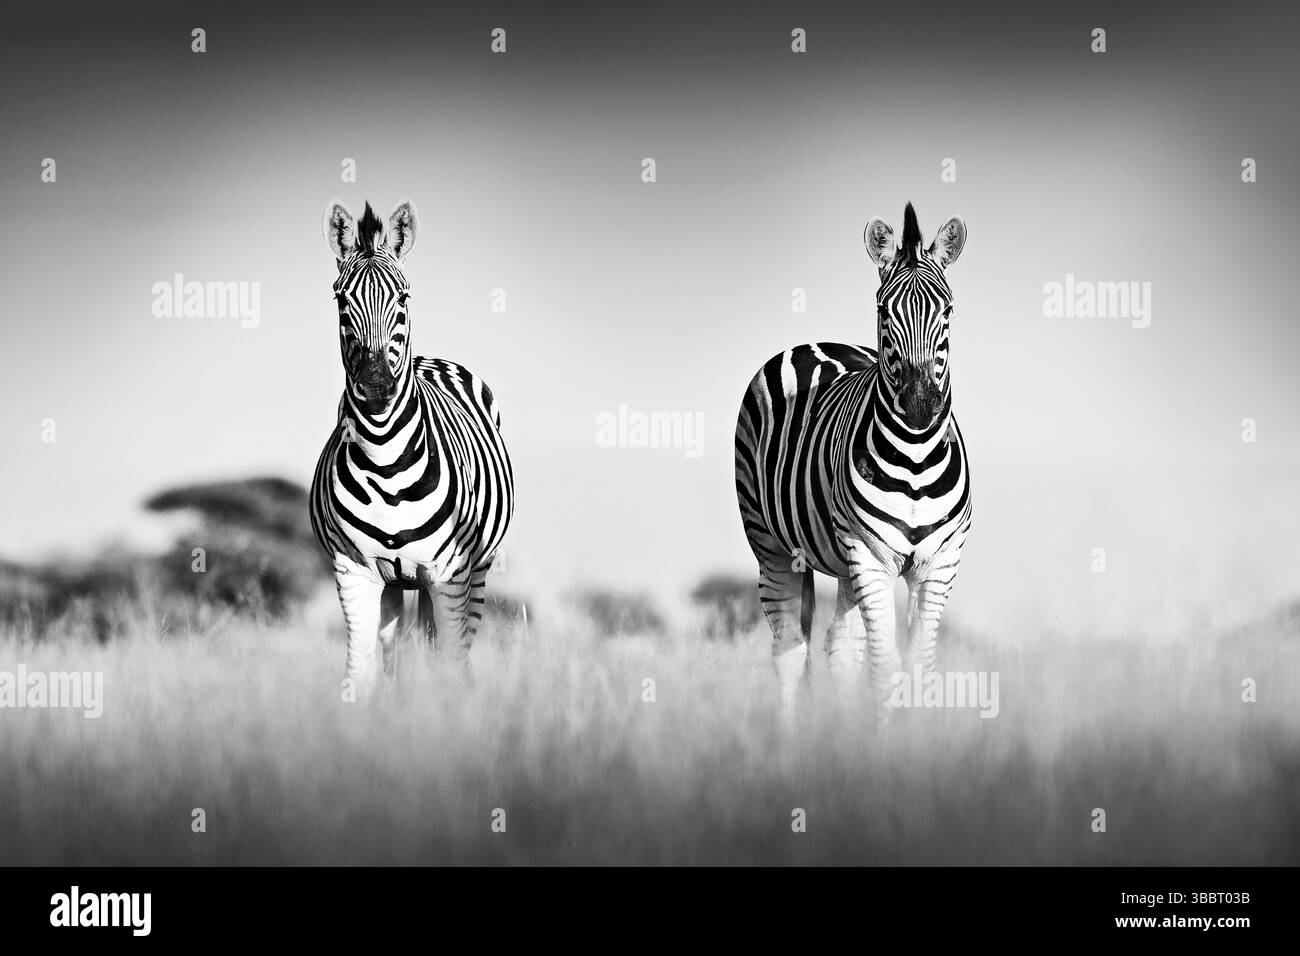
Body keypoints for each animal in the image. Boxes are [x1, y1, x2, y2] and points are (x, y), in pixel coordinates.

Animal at [311, 199, 514, 695]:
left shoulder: (450, 574)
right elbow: (360, 674)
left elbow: (451, 667)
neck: (386, 462)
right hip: (397, 583)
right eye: (341, 300)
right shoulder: (354, 572)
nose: (376, 386)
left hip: (476, 572)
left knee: (452, 651)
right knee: (397, 650)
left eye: (403, 298)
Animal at [734, 203, 971, 719]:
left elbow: (919, 668)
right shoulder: (869, 554)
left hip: (843, 565)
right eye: (884, 310)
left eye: (947, 310)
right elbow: (884, 668)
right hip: (771, 544)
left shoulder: (939, 563)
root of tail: (815, 342)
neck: (915, 459)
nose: (920, 405)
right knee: (789, 649)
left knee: (840, 649)